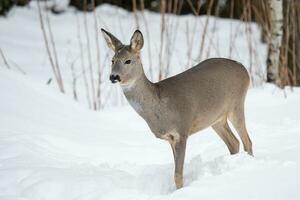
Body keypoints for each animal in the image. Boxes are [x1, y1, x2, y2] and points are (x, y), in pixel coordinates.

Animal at [101, 28, 253, 189]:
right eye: (112, 60)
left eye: (128, 60)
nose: (113, 76)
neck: (160, 106)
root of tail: (243, 68)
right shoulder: (170, 138)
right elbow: (176, 173)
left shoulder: (182, 130)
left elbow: (178, 175)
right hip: (216, 119)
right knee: (234, 143)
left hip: (236, 104)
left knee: (247, 141)